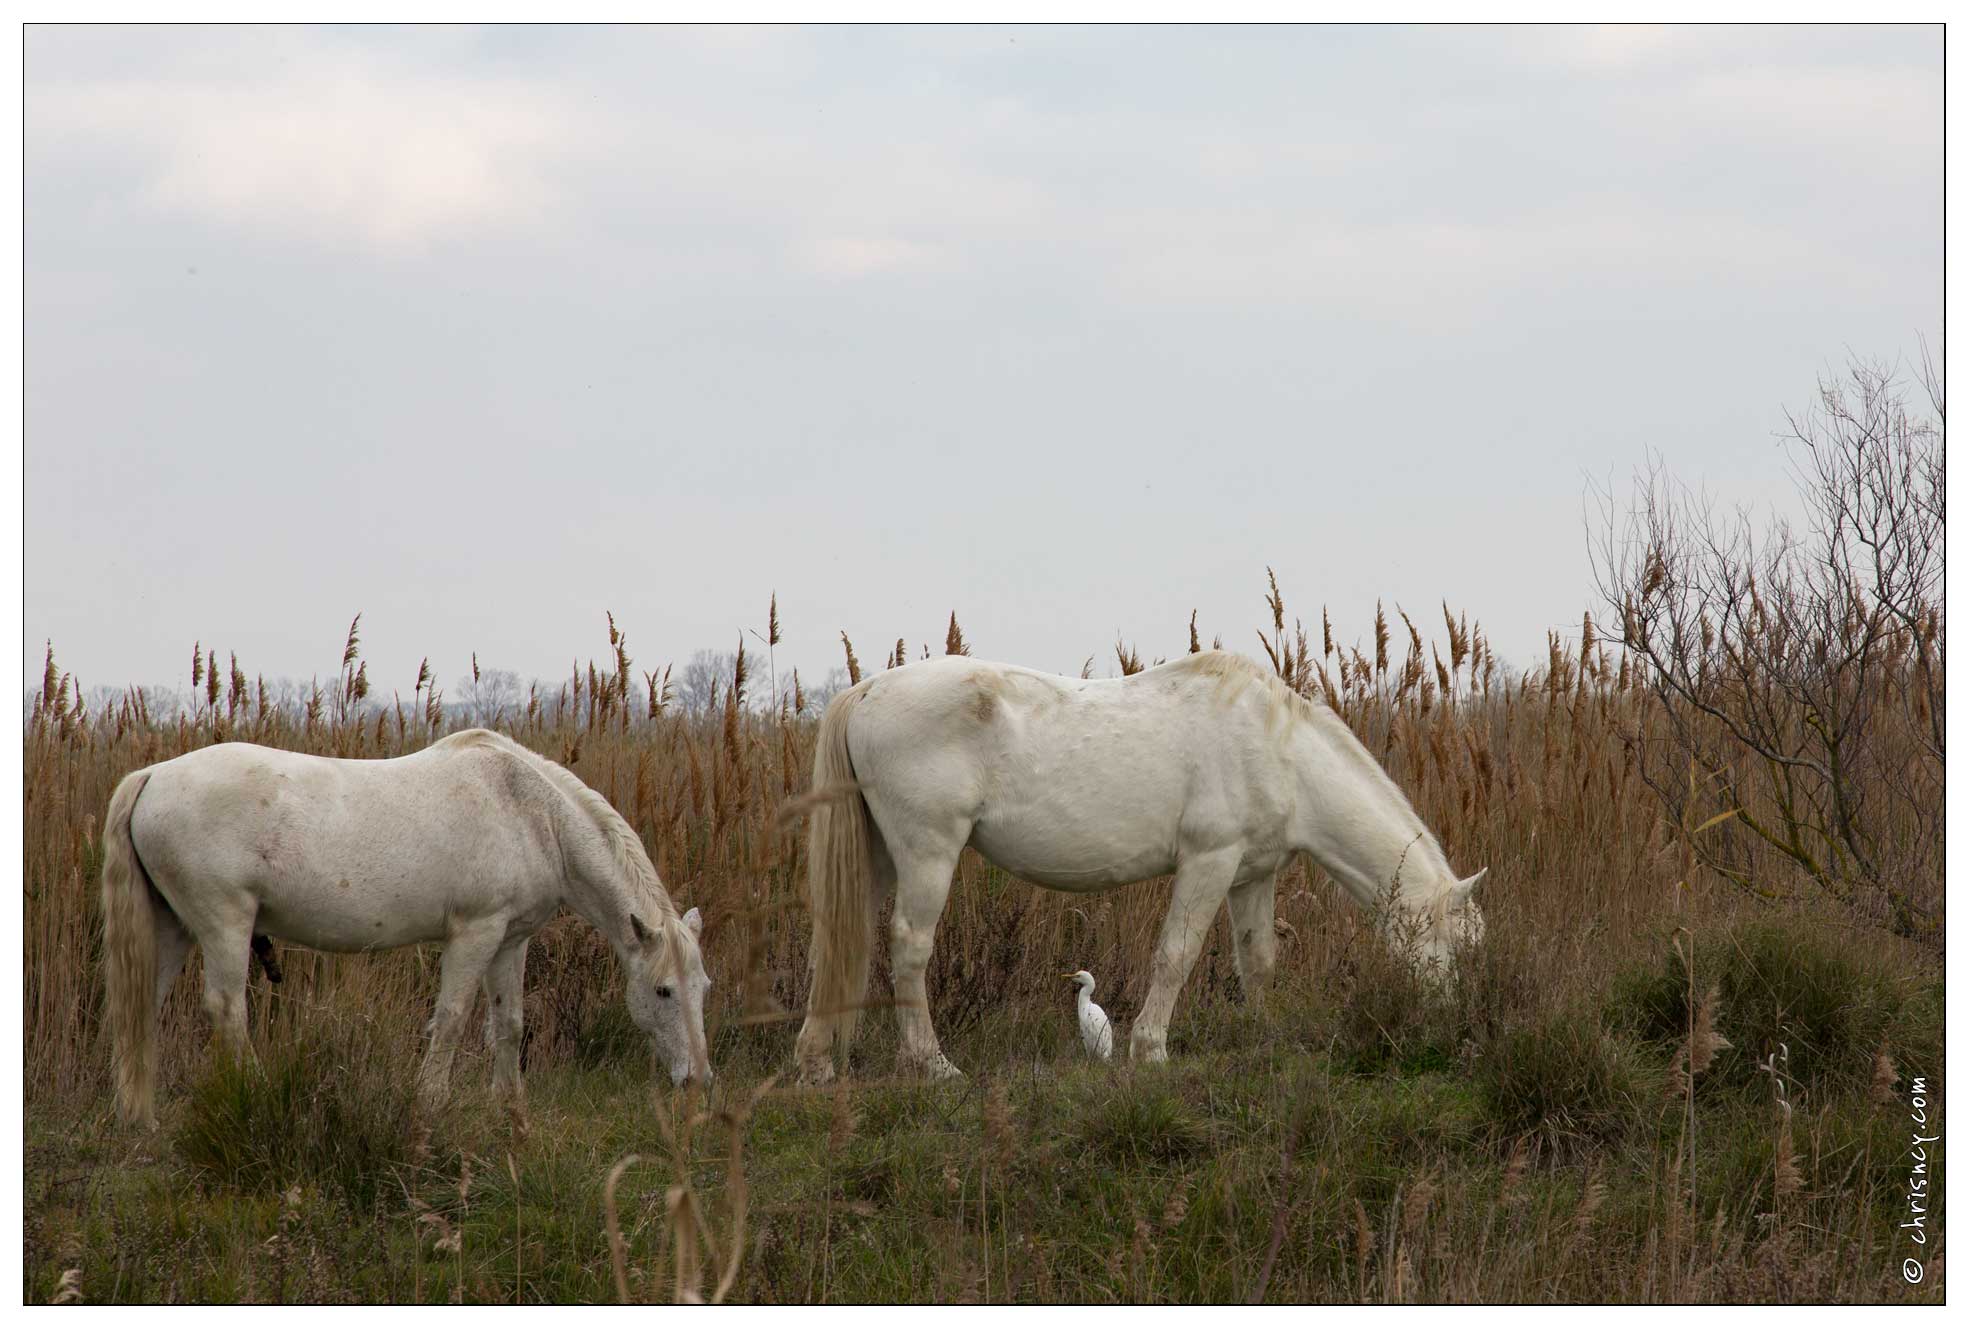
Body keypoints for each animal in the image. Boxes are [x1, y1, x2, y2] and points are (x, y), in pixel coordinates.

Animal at [101, 732, 716, 1126]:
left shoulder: (511, 940)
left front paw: (510, 1110)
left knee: (143, 1007)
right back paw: (252, 1096)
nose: (699, 1082)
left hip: (173, 929)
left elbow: (508, 1024)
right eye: (663, 991)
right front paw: (430, 1104)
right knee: (228, 1010)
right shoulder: (475, 934)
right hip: (223, 925)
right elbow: (452, 1020)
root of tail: (152, 777)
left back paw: (140, 1120)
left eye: (703, 989)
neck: (530, 810)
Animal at [791, 649, 1480, 1086]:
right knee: (909, 950)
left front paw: (1265, 1038)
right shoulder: (1209, 862)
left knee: (839, 942)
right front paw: (1149, 1051)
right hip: (927, 853)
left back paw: (816, 1063)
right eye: (1458, 943)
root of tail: (865, 692)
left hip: (879, 857)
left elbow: (1256, 961)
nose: (1453, 1027)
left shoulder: (1252, 875)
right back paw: (933, 1066)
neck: (1279, 748)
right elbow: (1176, 955)